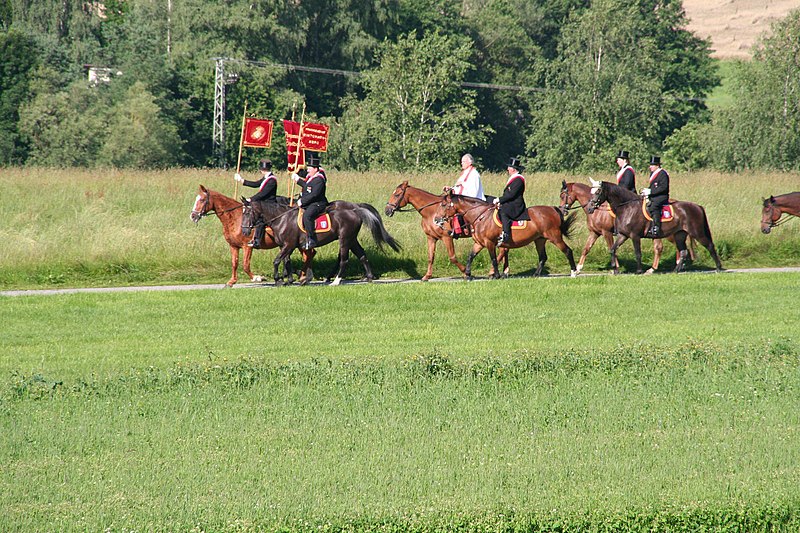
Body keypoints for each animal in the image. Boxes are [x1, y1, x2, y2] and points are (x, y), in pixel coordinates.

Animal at [242, 200, 400, 284]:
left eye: (248, 213)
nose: (244, 231)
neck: (282, 219)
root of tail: (355, 209)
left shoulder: (288, 245)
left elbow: (276, 261)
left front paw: (279, 280)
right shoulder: (285, 246)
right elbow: (287, 262)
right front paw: (291, 279)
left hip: (345, 239)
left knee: (344, 259)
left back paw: (336, 281)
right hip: (352, 239)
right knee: (361, 255)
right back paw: (369, 278)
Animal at [434, 193, 580, 280]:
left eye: (443, 204)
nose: (436, 219)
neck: (481, 216)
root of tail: (553, 209)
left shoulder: (489, 243)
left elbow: (493, 259)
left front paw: (496, 275)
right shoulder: (479, 243)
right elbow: (471, 256)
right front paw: (468, 274)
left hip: (555, 237)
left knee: (567, 251)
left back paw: (574, 272)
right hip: (540, 240)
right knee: (543, 257)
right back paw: (536, 274)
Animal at [564, 182, 692, 274]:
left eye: (563, 195)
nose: (563, 209)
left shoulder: (607, 233)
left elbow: (612, 248)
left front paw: (616, 268)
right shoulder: (595, 233)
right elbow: (587, 249)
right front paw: (578, 268)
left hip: (669, 234)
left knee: (674, 247)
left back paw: (678, 265)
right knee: (661, 248)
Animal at [584, 181, 720, 276]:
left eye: (598, 192)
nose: (589, 208)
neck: (627, 207)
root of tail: (697, 206)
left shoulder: (634, 235)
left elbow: (638, 253)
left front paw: (639, 271)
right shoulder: (623, 235)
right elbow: (612, 249)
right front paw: (615, 269)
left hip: (697, 233)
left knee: (710, 246)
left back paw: (719, 268)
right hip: (679, 235)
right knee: (683, 251)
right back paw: (675, 270)